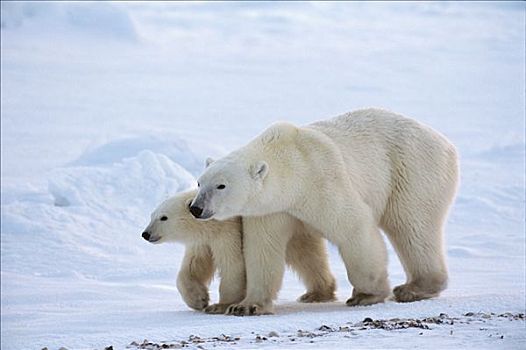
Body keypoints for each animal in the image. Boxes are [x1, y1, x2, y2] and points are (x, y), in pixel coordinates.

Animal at [192, 108, 460, 316]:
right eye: (199, 182)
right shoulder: (271, 208)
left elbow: (354, 226)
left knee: (411, 226)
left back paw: (414, 288)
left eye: (221, 185)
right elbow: (262, 249)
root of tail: (447, 144)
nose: (196, 208)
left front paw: (366, 295)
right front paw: (246, 306)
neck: (292, 165)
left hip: (412, 170)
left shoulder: (321, 179)